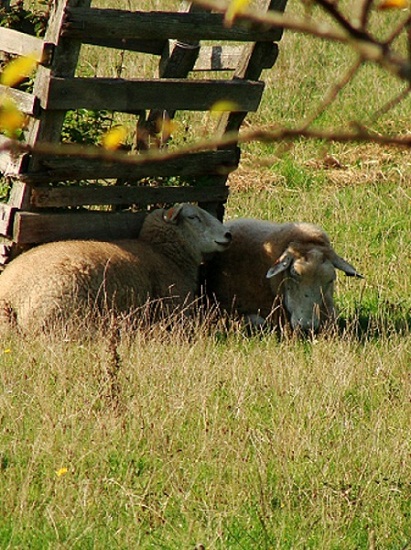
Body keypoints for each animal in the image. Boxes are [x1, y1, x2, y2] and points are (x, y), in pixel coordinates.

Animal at [0, 204, 232, 336]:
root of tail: (9, 296)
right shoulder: (176, 311)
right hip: (64, 312)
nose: (228, 234)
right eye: (193, 217)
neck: (164, 253)